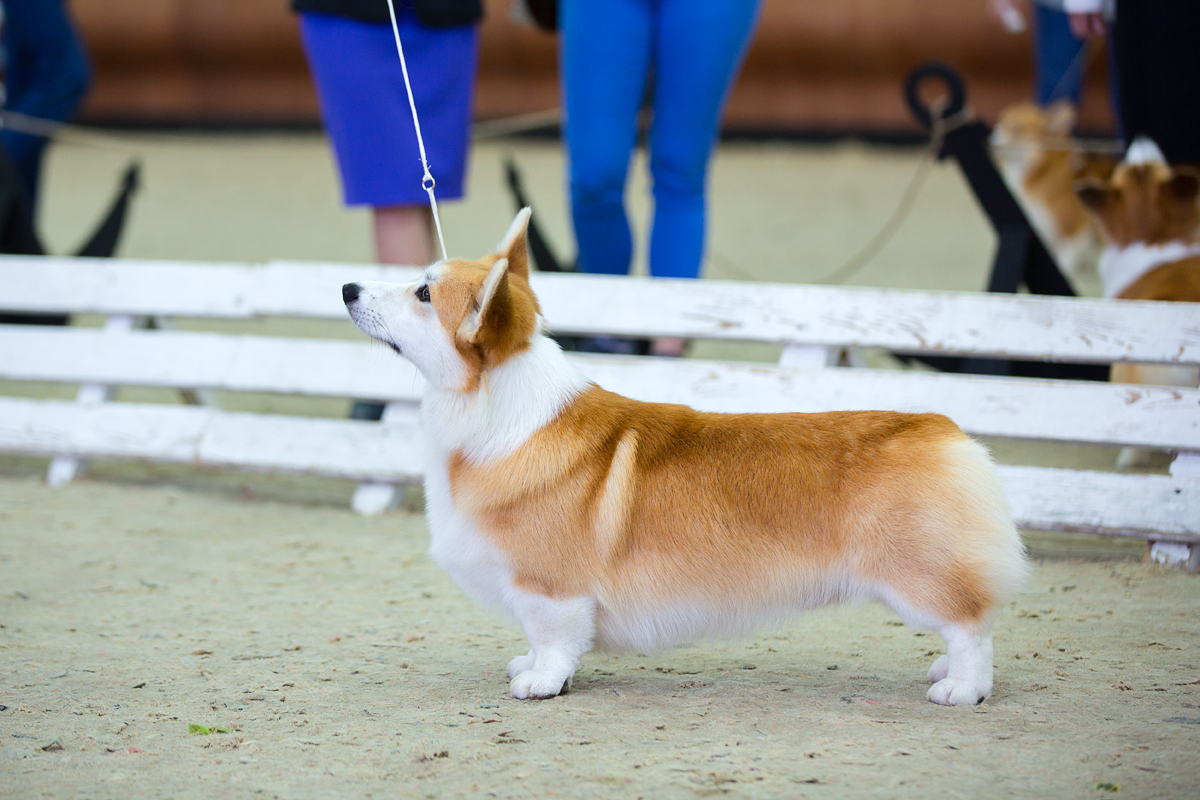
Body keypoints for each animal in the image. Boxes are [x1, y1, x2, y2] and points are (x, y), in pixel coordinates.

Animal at [343, 211, 1027, 705]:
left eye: (423, 293)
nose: (347, 286)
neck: (497, 407)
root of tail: (943, 428)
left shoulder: (550, 587)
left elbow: (555, 640)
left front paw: (540, 683)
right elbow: (539, 641)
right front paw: (528, 666)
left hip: (913, 574)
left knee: (972, 624)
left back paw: (961, 689)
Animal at [993, 98, 1113, 289]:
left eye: (1017, 128)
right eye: (1001, 122)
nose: (993, 140)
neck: (1040, 171)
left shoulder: (1071, 231)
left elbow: (1064, 264)